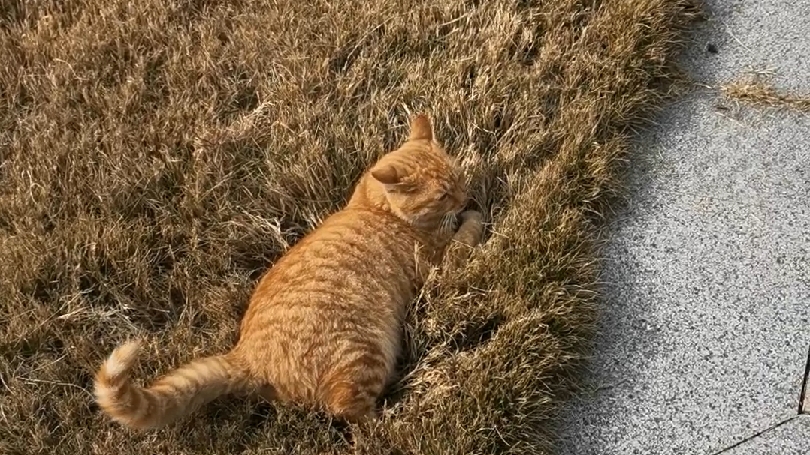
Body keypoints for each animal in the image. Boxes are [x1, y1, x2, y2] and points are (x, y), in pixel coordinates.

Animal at [94, 114, 480, 432]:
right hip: (364, 354)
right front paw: (476, 215)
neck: (374, 208)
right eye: (443, 195)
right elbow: (468, 234)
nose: (465, 196)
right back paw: (399, 415)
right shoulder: (440, 263)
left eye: (459, 175)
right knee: (350, 412)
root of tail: (246, 355)